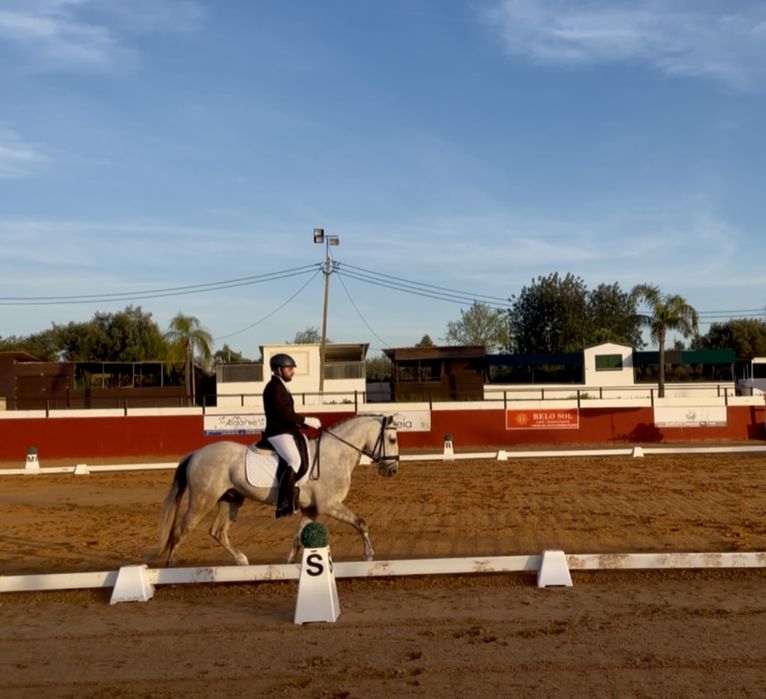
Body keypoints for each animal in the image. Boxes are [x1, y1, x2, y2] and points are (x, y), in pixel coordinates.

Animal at [156, 414, 400, 567]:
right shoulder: (329, 505)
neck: (335, 453)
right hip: (202, 501)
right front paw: (369, 555)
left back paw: (241, 560)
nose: (392, 470)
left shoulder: (312, 509)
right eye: (392, 438)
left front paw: (290, 563)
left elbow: (297, 537)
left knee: (218, 531)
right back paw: (172, 568)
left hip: (230, 500)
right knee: (180, 531)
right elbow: (361, 523)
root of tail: (196, 453)